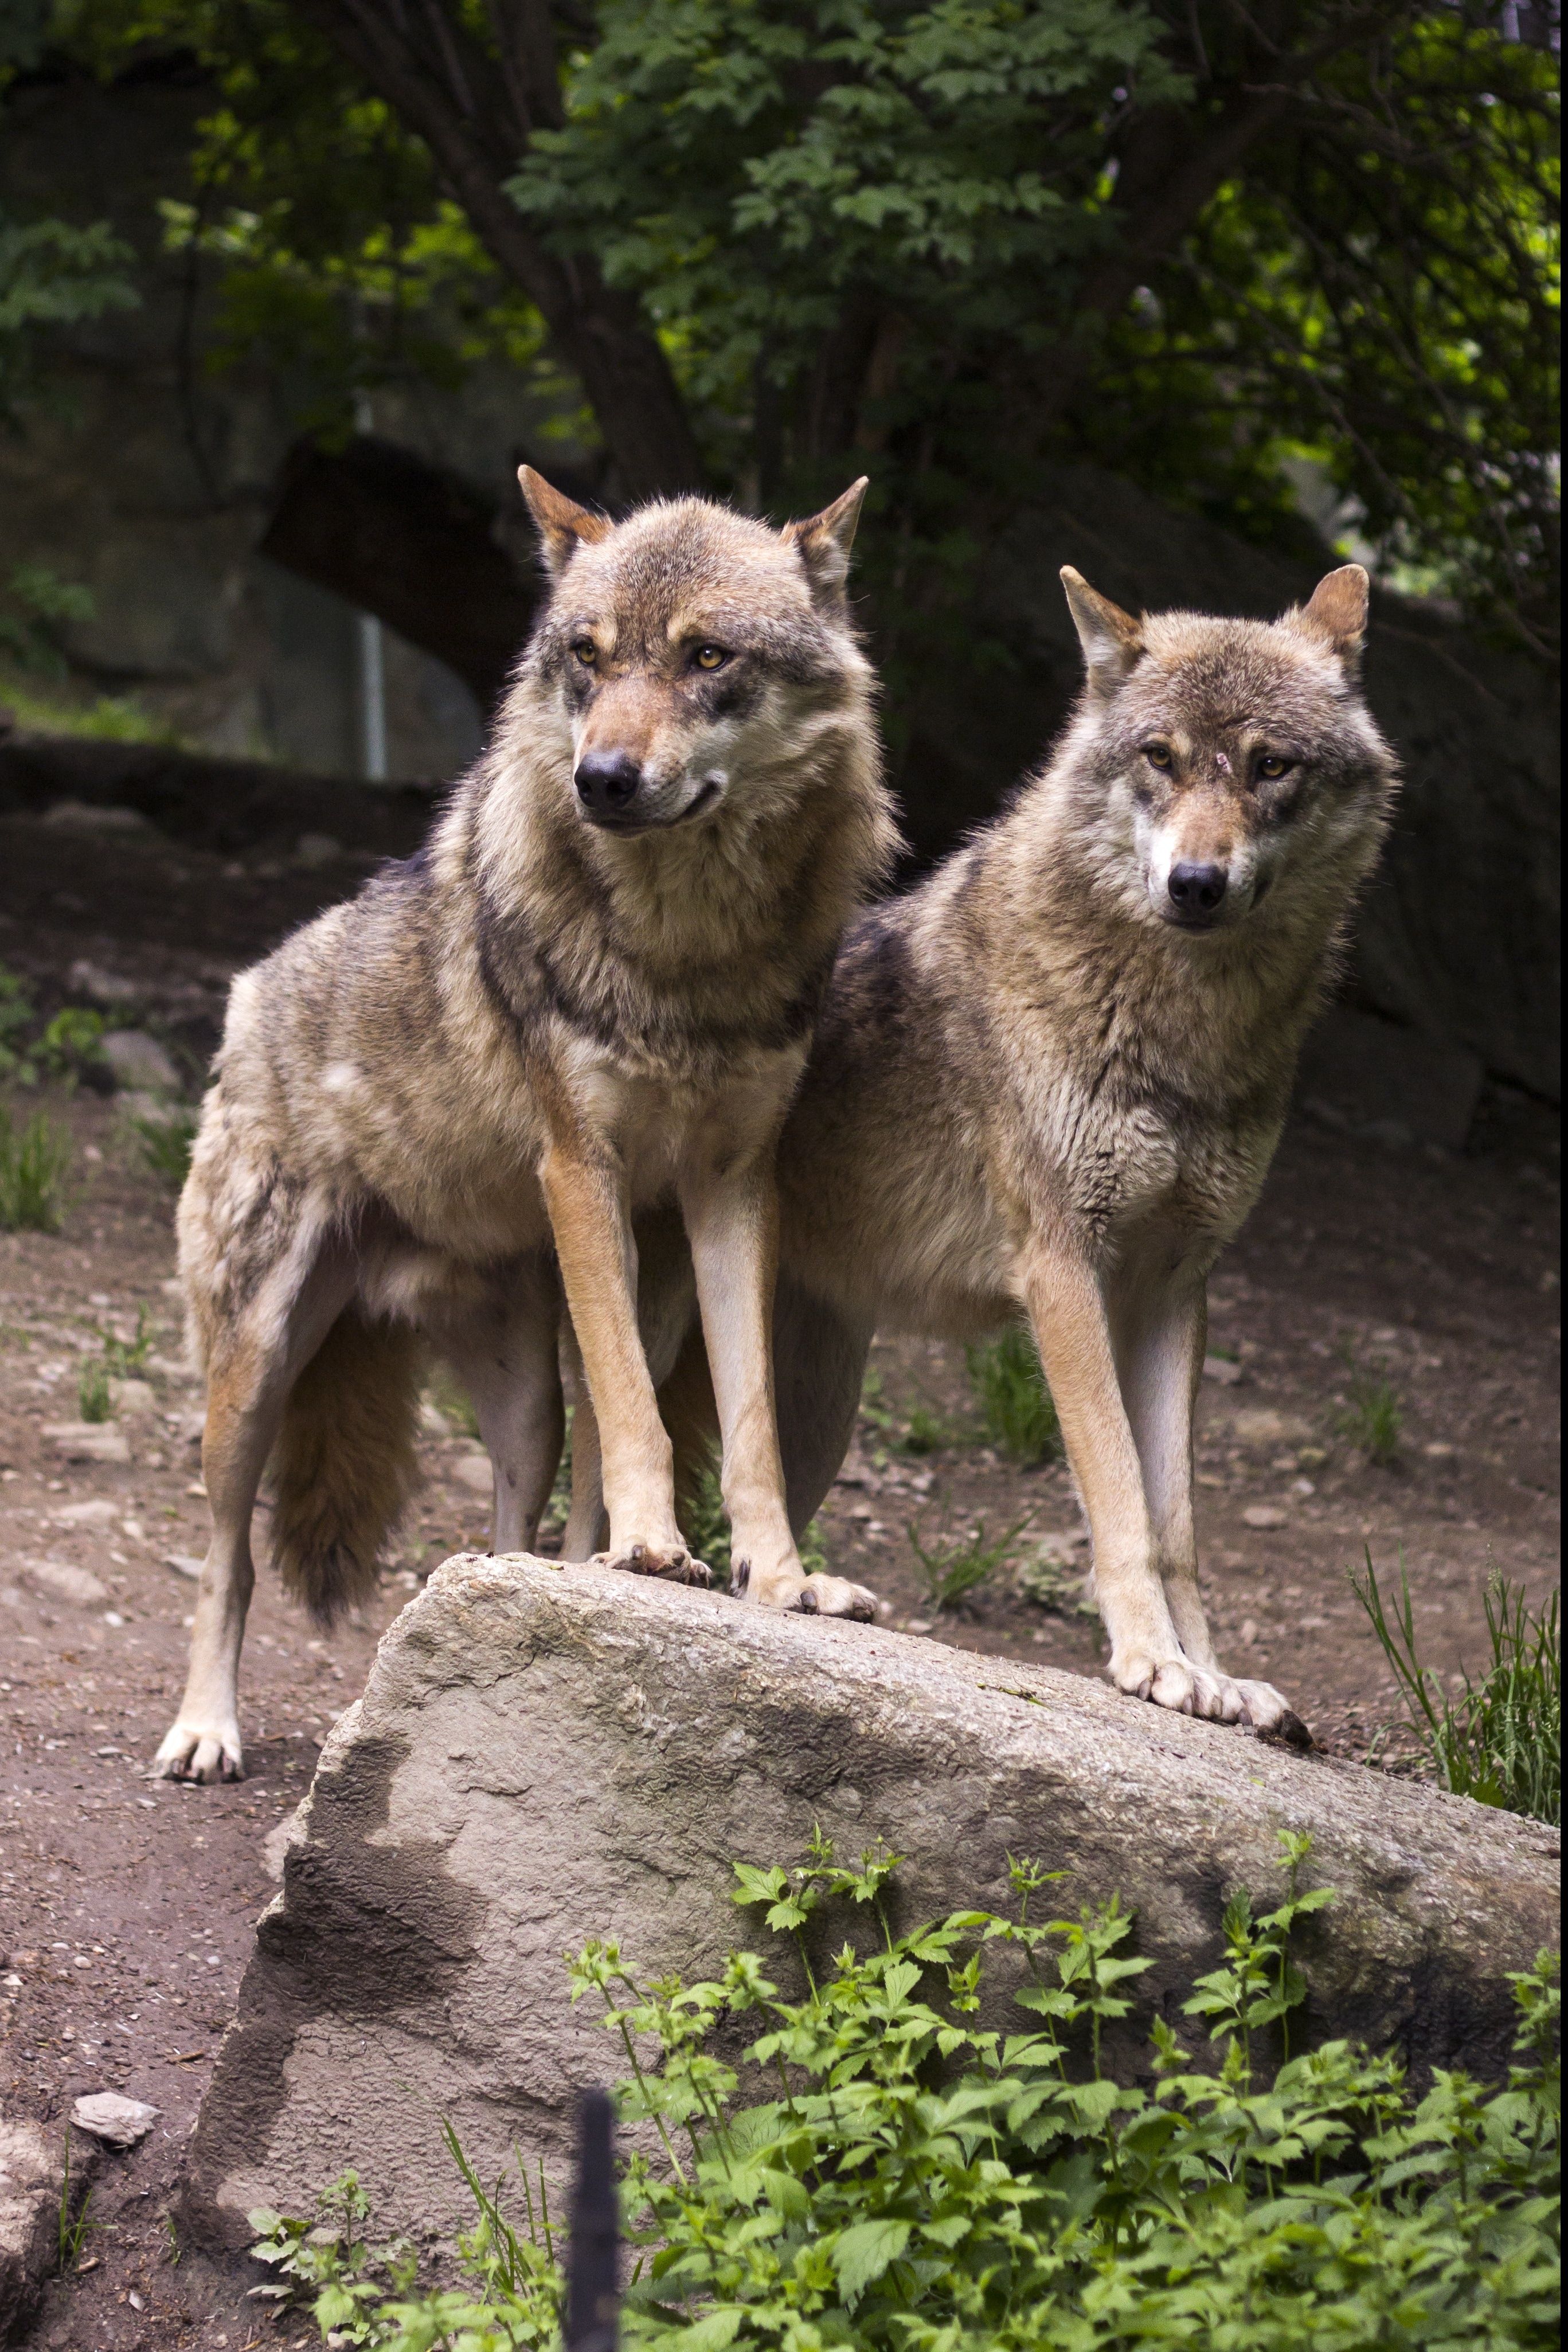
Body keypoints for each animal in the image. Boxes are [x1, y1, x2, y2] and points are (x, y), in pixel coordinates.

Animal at [161, 468, 902, 1768]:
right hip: (253, 1367)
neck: (685, 955)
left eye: (706, 655)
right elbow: (644, 1421)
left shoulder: (730, 1191)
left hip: (525, 1404)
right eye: (587, 656)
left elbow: (747, 1423)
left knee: (509, 1535)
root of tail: (250, 990)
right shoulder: (580, 1167)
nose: (600, 778)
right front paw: (656, 1548)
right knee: (227, 1559)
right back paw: (207, 1729)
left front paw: (780, 1580)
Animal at [564, 560, 1401, 1740]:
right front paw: (1154, 1666)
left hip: (816, 1410)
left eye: (1270, 766)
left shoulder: (1176, 1286)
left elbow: (1179, 1525)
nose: (1196, 883)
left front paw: (1216, 1677)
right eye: (1160, 758)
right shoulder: (1062, 1270)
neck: (1185, 1036)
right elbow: (1121, 1498)